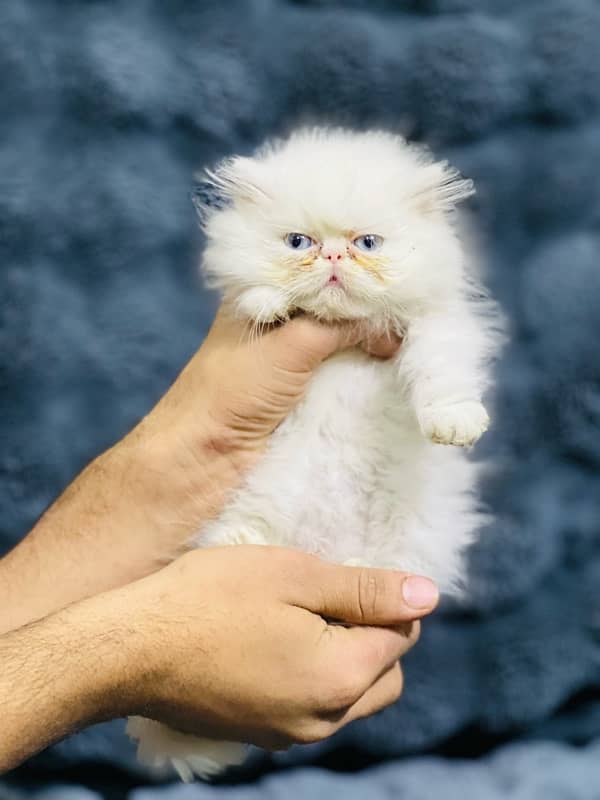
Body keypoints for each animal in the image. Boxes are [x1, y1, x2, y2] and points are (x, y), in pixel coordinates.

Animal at [126, 126, 502, 780]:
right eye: (298, 242)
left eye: (367, 243)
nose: (332, 259)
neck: (345, 346)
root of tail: (321, 554)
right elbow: (254, 296)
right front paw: (270, 305)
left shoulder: (439, 325)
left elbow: (442, 371)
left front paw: (454, 422)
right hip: (258, 508)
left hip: (406, 543)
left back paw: (353, 569)